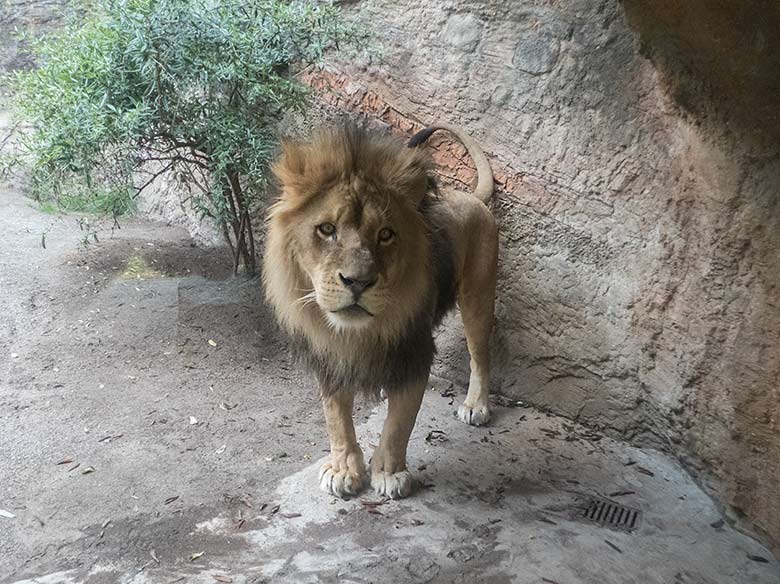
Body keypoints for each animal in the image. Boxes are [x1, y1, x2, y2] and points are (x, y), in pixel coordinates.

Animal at [266, 121, 496, 500]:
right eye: (327, 229)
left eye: (386, 235)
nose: (357, 282)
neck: (358, 333)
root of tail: (471, 197)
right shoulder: (330, 357)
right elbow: (336, 418)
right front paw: (343, 469)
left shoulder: (414, 350)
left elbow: (400, 422)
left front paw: (389, 474)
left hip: (478, 298)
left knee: (480, 356)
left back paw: (476, 405)